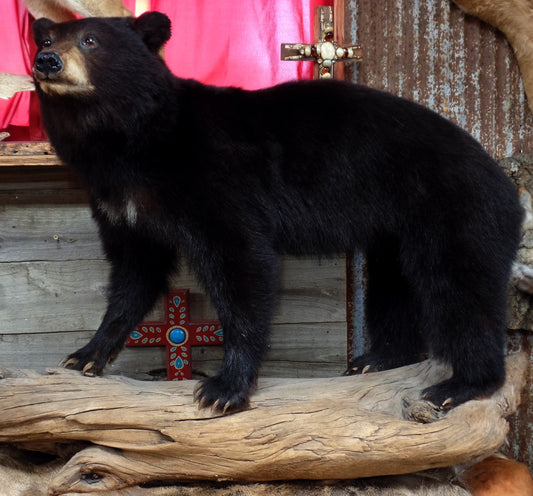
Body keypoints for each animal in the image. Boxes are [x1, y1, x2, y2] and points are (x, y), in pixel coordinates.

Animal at [31, 12, 520, 414]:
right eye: (47, 37)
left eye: (91, 40)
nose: (47, 60)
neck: (128, 141)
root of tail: (505, 181)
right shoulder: (120, 202)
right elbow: (134, 273)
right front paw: (86, 354)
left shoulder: (212, 180)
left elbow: (242, 262)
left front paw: (224, 388)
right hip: (399, 229)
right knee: (395, 284)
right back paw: (377, 358)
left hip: (453, 209)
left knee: (456, 287)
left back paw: (460, 384)